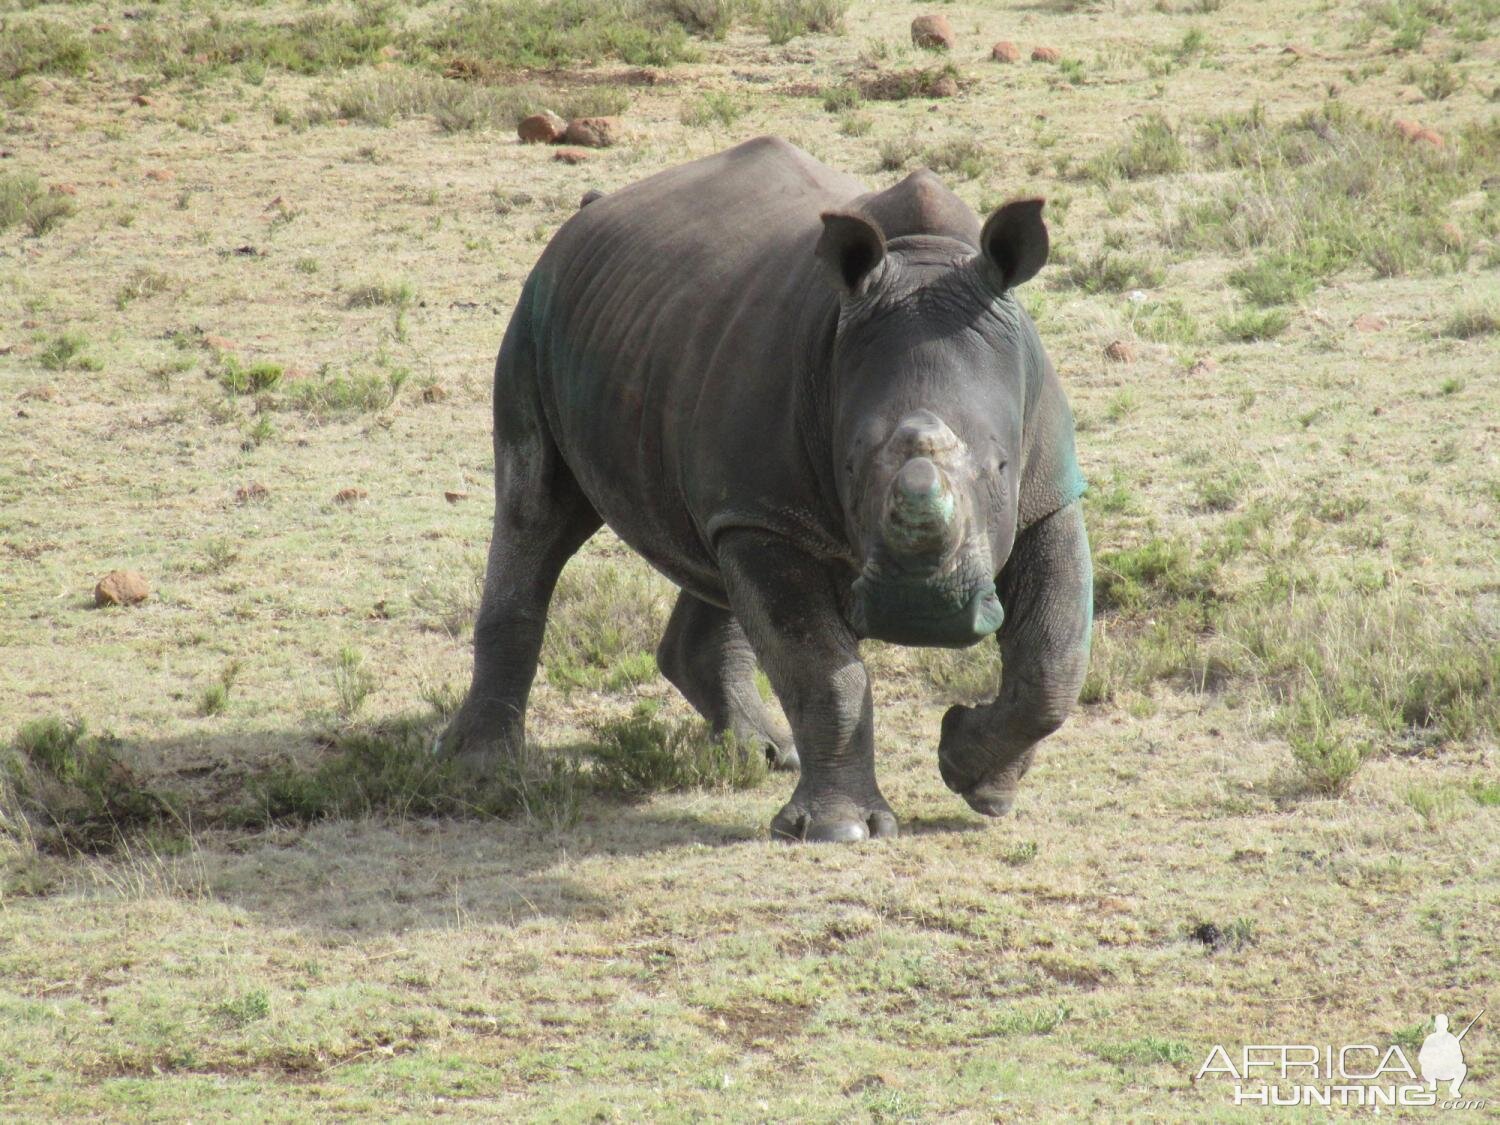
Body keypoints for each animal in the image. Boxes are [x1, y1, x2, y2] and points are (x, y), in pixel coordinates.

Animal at [438, 136, 1098, 840]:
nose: (921, 612)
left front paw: (976, 778)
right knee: (535, 513)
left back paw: (763, 753)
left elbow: (1052, 661)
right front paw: (840, 831)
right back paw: (481, 767)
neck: (925, 258)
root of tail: (587, 212)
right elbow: (822, 671)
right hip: (537, 317)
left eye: (1001, 468)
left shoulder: (1047, 494)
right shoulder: (768, 511)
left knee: (710, 551)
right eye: (850, 466)